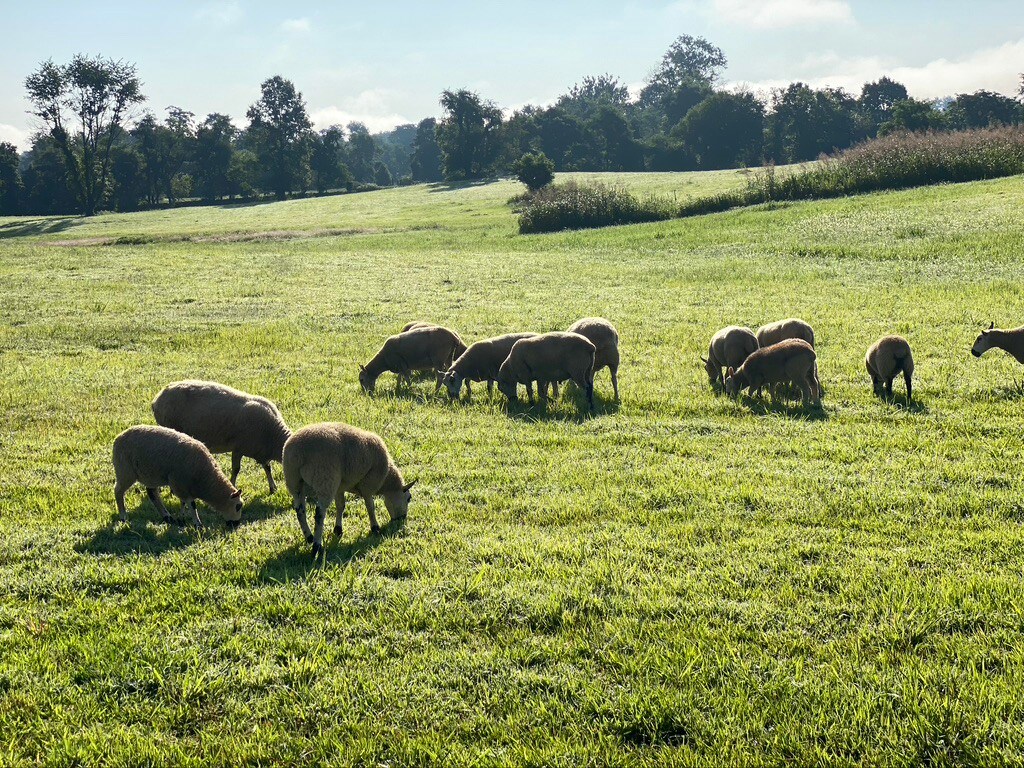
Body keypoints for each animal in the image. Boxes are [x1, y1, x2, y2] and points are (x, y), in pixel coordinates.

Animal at [111, 428, 241, 528]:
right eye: (238, 506)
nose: (236, 525)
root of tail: (119, 437)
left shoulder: (182, 486)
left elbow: (183, 502)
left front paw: (181, 519)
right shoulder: (179, 483)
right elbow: (191, 504)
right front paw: (197, 524)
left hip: (150, 474)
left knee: (152, 493)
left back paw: (167, 517)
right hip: (125, 470)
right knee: (118, 491)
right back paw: (123, 516)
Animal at [150, 382, 292, 495]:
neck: (273, 435)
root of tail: (157, 399)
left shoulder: (260, 450)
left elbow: (267, 468)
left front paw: (273, 488)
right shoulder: (239, 448)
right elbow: (236, 470)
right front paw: (233, 486)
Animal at [280, 421, 415, 561]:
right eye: (408, 498)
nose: (402, 518)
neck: (386, 479)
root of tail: (297, 454)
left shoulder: (340, 487)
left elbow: (341, 506)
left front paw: (338, 529)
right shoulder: (368, 485)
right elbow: (370, 507)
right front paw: (375, 528)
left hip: (295, 483)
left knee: (300, 510)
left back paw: (309, 537)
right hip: (324, 479)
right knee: (319, 513)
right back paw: (317, 547)